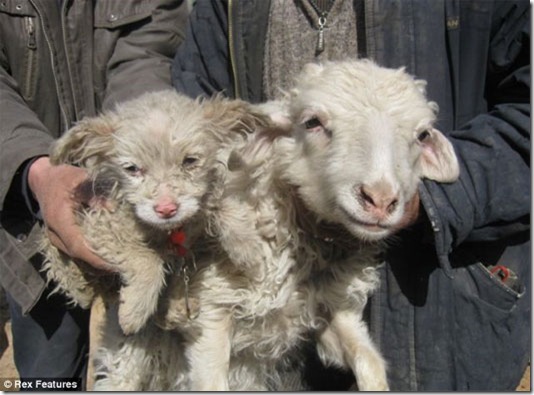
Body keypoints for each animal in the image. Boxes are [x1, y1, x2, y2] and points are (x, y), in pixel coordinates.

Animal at [151, 59, 460, 392]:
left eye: (423, 135)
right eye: (312, 122)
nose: (379, 199)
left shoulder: (331, 308)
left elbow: (369, 361)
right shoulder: (209, 309)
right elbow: (212, 380)